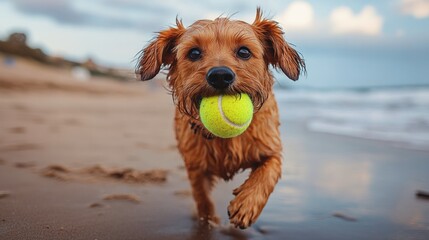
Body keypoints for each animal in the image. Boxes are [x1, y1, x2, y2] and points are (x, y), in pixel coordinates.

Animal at [138, 7, 304, 229]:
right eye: (194, 53)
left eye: (244, 51)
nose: (219, 75)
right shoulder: (195, 167)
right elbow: (203, 198)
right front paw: (207, 221)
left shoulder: (271, 148)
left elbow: (267, 172)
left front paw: (246, 204)